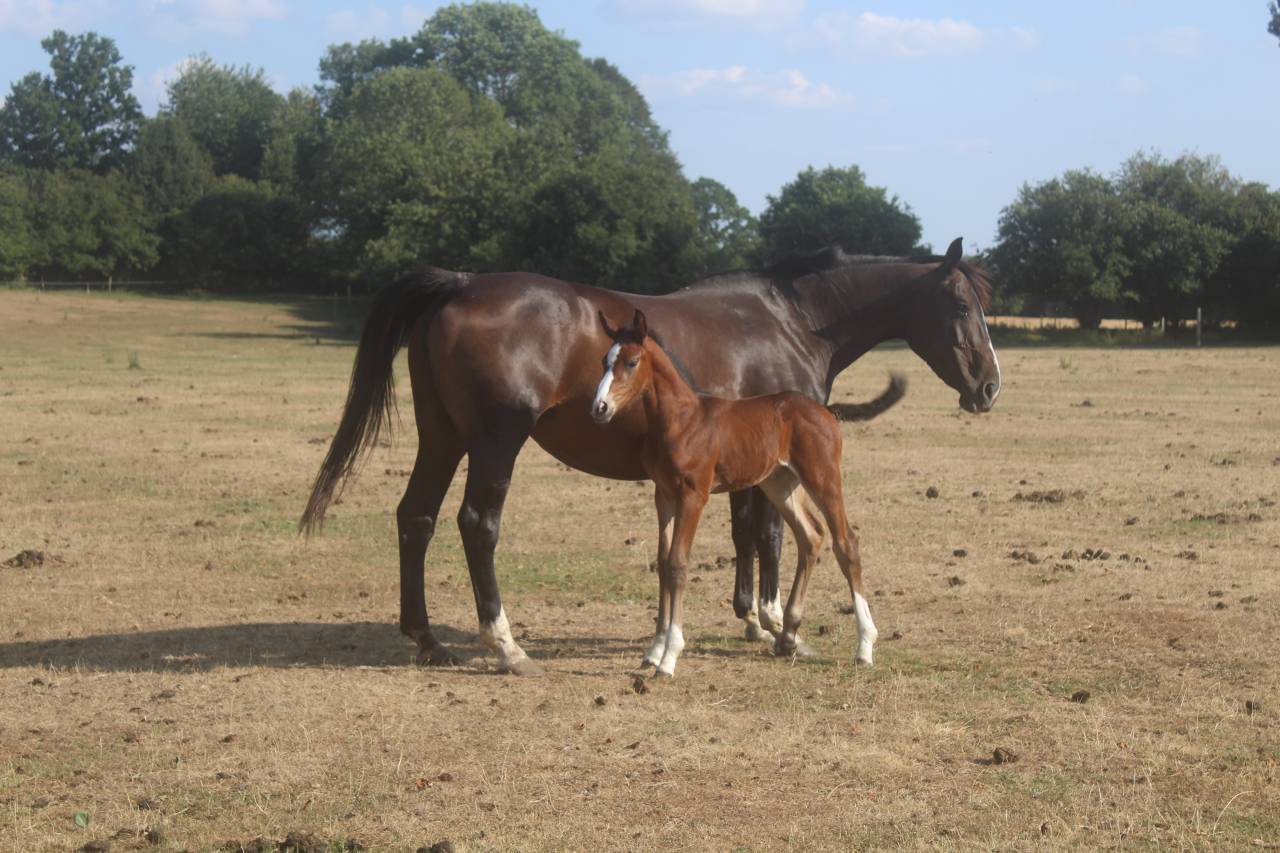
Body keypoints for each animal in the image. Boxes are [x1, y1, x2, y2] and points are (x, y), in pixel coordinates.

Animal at [592, 308, 876, 676]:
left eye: (631, 361)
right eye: (604, 360)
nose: (599, 407)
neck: (681, 420)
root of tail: (825, 412)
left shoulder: (693, 495)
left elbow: (677, 564)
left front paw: (669, 657)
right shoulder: (663, 495)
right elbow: (662, 562)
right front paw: (653, 650)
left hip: (822, 476)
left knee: (847, 543)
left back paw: (864, 646)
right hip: (779, 482)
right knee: (811, 535)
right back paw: (788, 635)